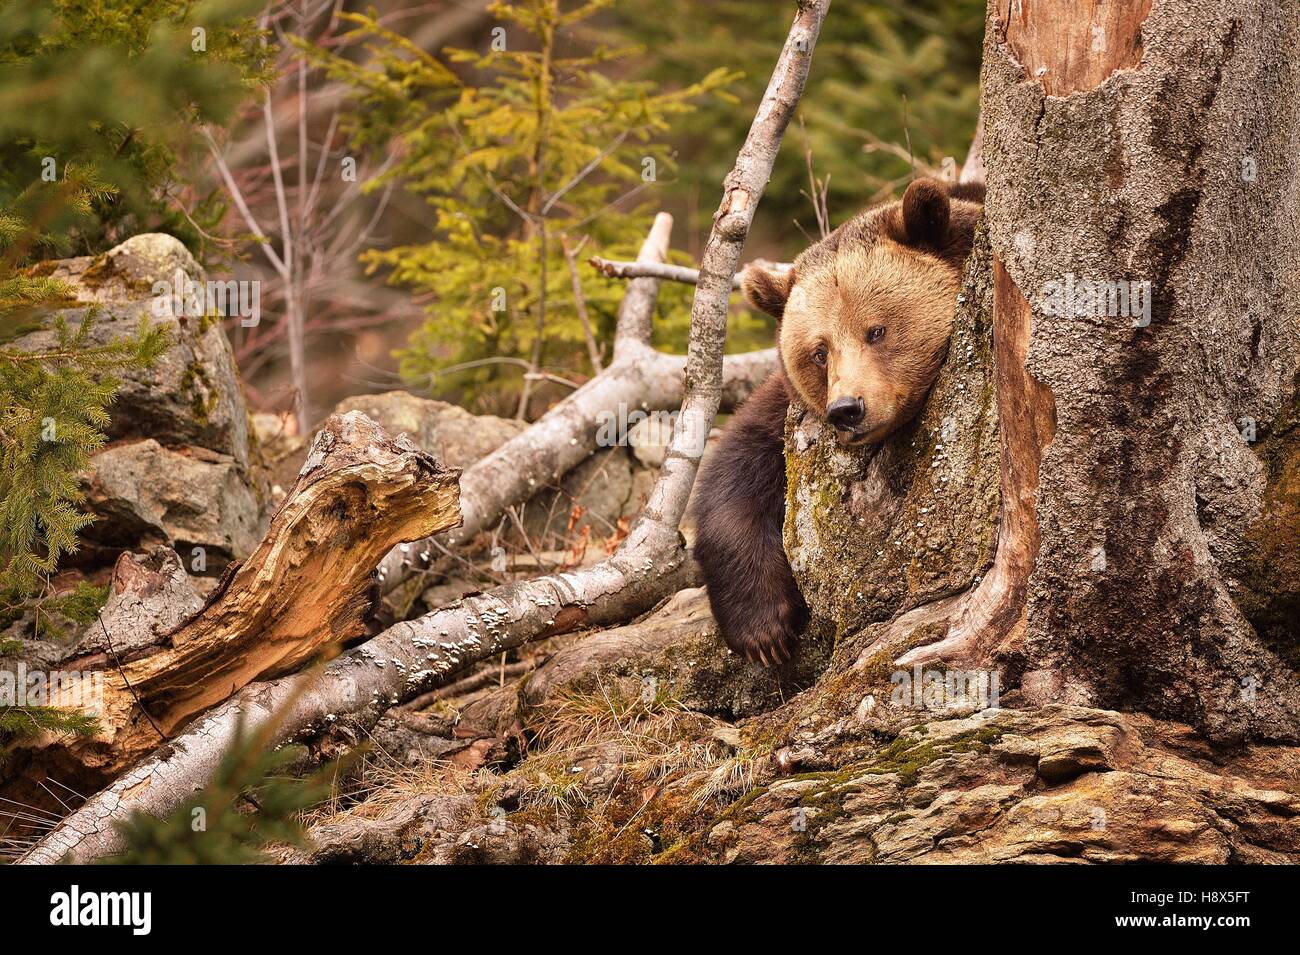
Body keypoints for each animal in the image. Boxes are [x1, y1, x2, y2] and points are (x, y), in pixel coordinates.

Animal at [692, 177, 985, 665]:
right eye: (819, 351)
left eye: (877, 330)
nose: (848, 408)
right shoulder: (786, 413)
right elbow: (736, 472)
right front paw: (764, 632)